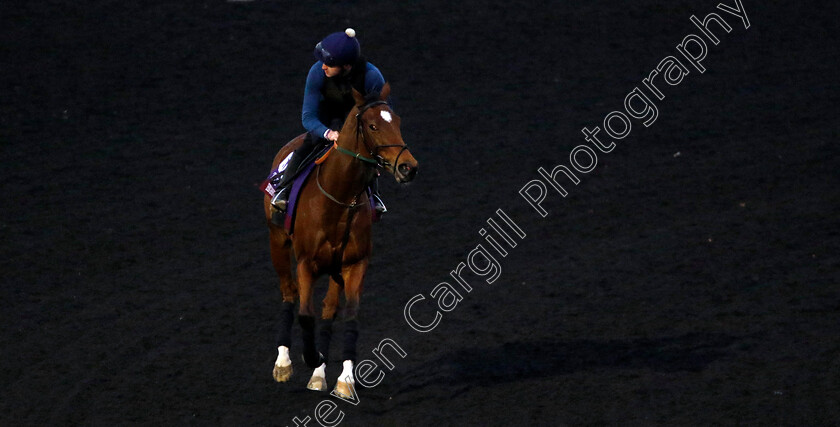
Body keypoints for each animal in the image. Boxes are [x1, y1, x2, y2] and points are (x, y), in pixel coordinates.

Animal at [264, 84, 418, 402]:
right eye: (373, 126)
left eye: (397, 121)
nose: (409, 167)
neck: (338, 199)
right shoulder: (306, 264)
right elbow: (305, 314)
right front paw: (309, 358)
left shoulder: (354, 264)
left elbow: (348, 316)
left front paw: (344, 379)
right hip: (278, 243)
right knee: (288, 293)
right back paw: (283, 361)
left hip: (335, 268)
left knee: (328, 309)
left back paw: (319, 374)